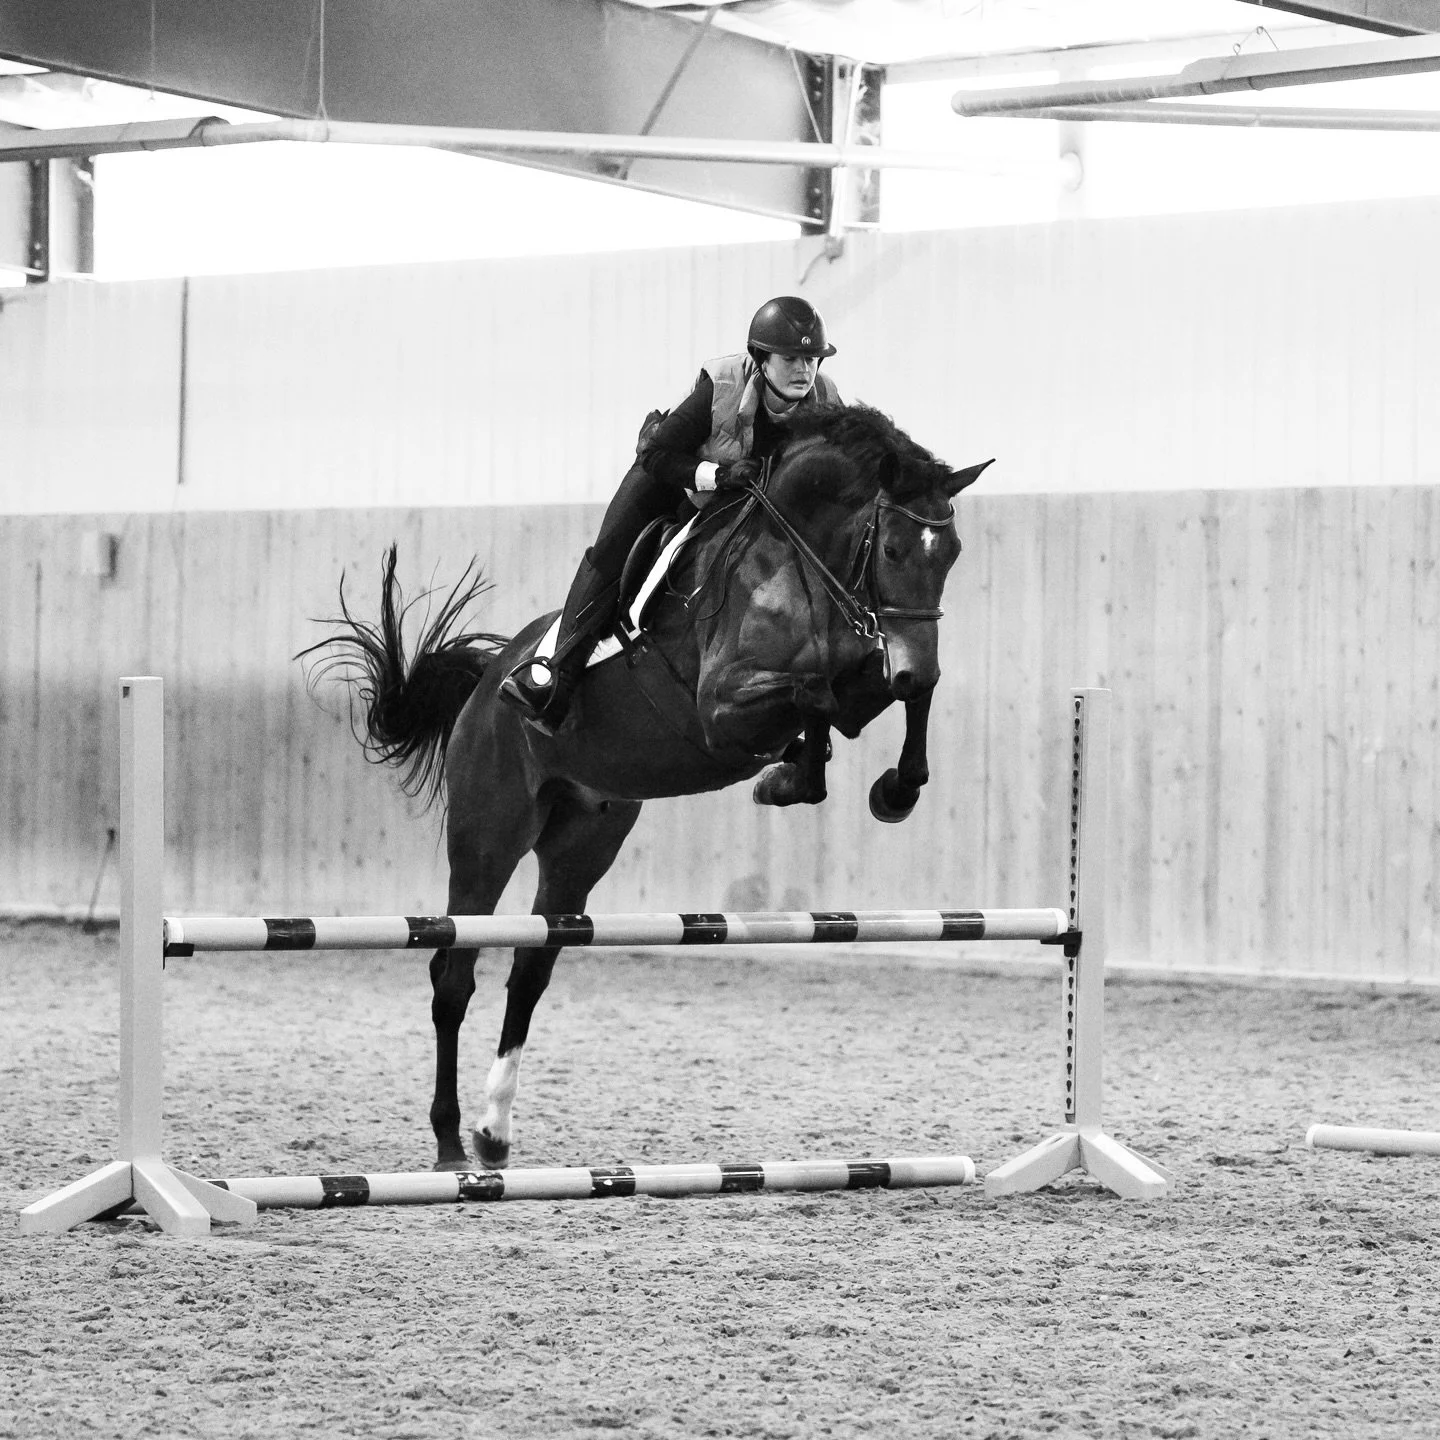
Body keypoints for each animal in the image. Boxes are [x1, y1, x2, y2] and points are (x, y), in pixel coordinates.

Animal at [304, 403, 988, 1171]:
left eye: (951, 555)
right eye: (894, 551)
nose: (913, 659)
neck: (803, 559)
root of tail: (486, 684)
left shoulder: (866, 672)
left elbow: (885, 696)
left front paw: (885, 786)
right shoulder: (720, 709)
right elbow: (817, 692)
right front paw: (797, 775)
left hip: (583, 844)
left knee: (529, 971)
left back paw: (493, 1132)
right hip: (488, 835)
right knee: (455, 973)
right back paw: (451, 1141)